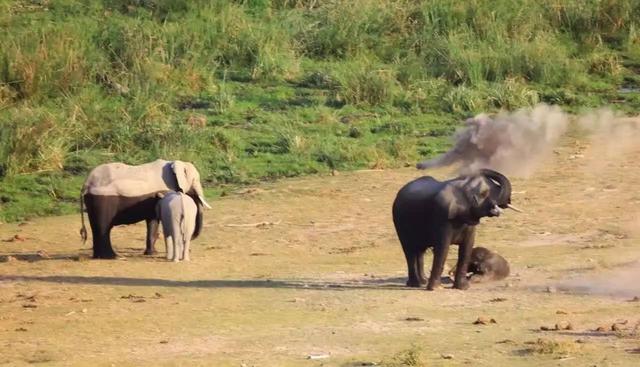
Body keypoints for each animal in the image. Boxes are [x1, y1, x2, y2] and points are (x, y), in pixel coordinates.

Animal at [79, 160, 211, 260]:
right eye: (195, 181)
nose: (191, 243)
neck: (173, 163)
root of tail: (86, 184)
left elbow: (152, 220)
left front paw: (152, 253)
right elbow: (155, 219)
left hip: (93, 201)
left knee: (96, 227)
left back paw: (99, 257)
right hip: (103, 200)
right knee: (104, 227)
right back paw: (112, 257)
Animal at [392, 168, 524, 292]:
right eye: (485, 193)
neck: (463, 187)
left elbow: (467, 248)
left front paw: (463, 287)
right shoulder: (443, 216)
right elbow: (442, 248)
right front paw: (436, 288)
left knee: (420, 251)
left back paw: (423, 281)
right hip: (399, 222)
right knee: (409, 251)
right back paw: (417, 284)